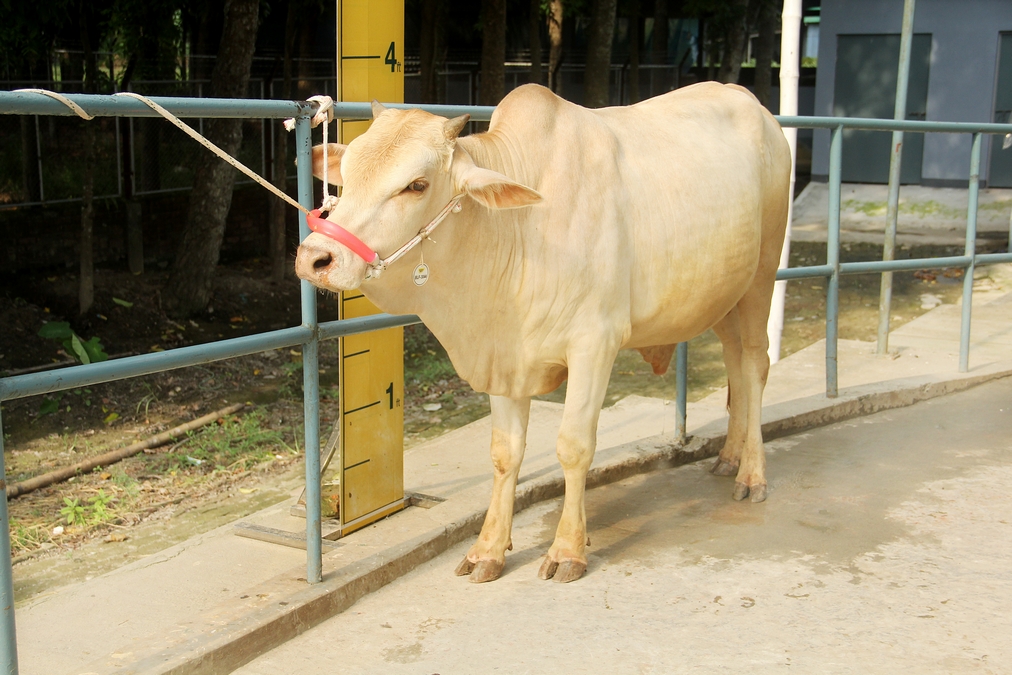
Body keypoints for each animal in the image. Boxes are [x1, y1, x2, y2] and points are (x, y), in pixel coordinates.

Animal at [295, 82, 792, 584]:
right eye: (347, 175)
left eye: (416, 185)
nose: (316, 258)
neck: (514, 234)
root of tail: (746, 98)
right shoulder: (502, 356)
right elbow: (504, 453)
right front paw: (489, 550)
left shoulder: (595, 343)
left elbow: (573, 447)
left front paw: (568, 548)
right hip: (724, 294)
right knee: (734, 365)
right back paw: (729, 456)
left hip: (761, 277)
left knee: (754, 365)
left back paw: (752, 475)